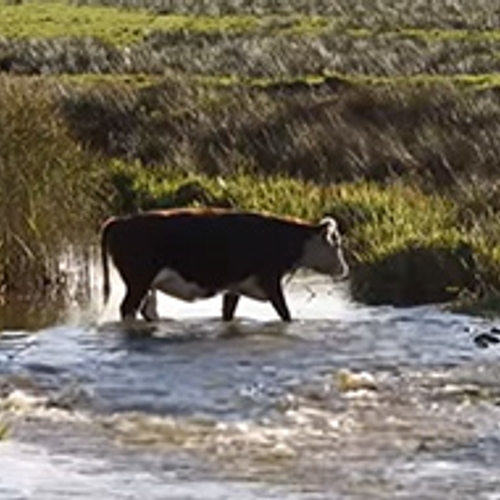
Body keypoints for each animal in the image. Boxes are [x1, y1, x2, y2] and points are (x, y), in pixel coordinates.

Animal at [100, 208, 350, 322]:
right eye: (337, 244)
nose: (344, 270)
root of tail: (119, 221)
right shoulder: (270, 282)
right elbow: (285, 312)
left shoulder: (234, 287)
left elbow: (228, 313)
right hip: (138, 281)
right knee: (128, 308)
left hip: (147, 285)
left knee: (147, 310)